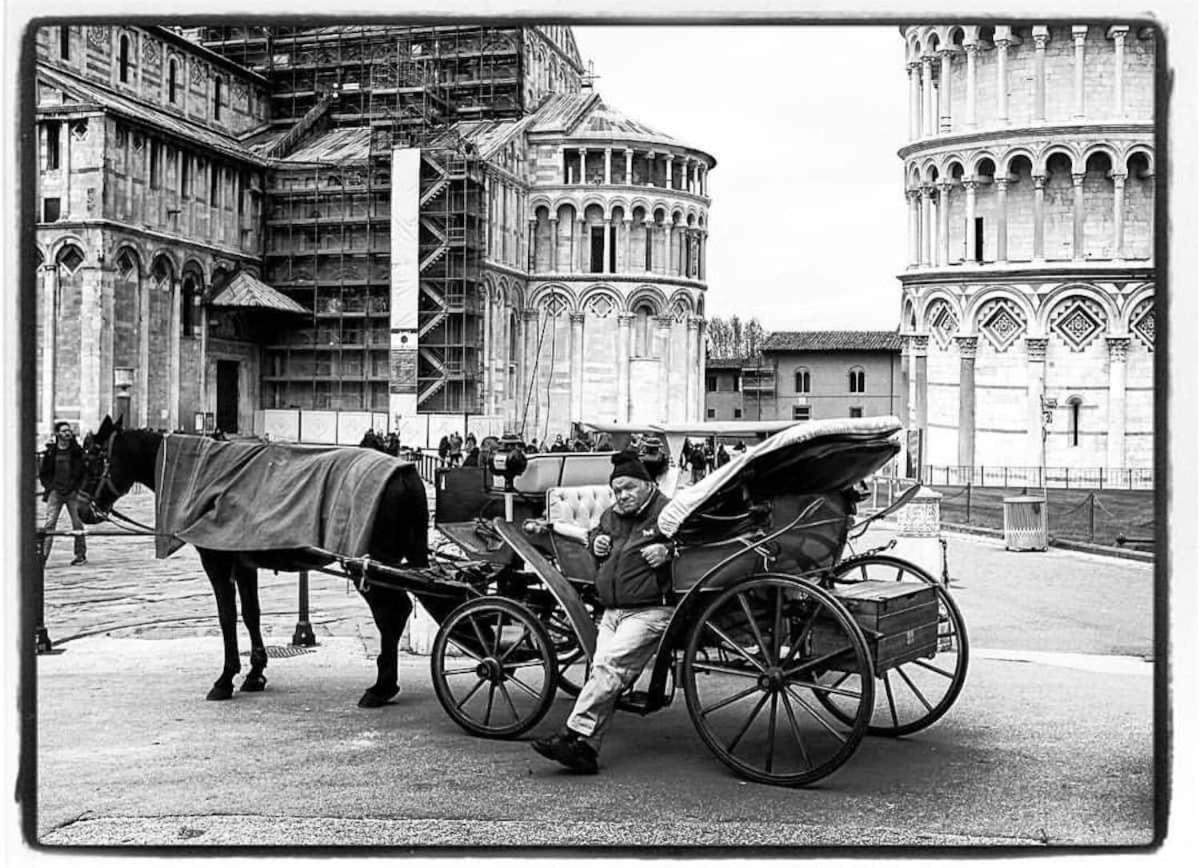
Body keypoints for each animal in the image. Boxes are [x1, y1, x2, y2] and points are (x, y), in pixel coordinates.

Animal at [76, 417, 432, 710]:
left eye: (92, 459)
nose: (81, 509)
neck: (203, 473)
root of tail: (405, 473)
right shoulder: (243, 561)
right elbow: (251, 614)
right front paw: (255, 673)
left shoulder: (217, 560)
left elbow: (226, 616)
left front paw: (226, 679)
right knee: (402, 609)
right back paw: (387, 683)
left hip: (369, 565)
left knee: (391, 613)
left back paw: (382, 687)